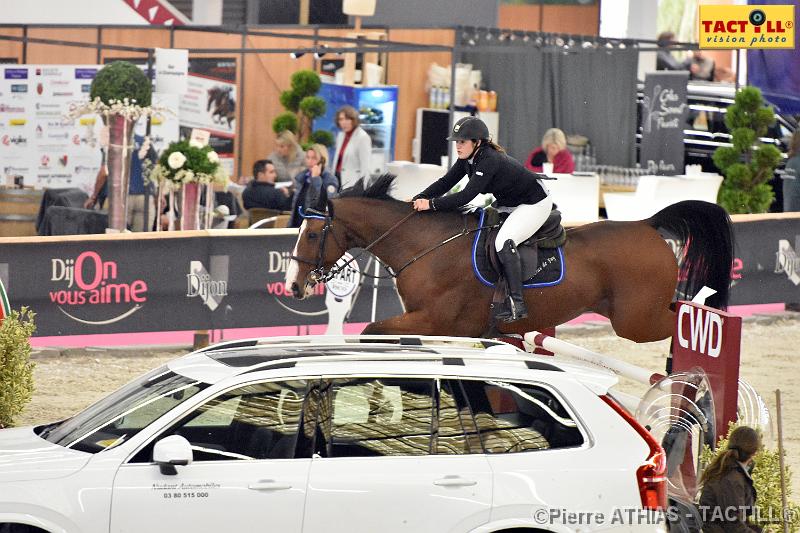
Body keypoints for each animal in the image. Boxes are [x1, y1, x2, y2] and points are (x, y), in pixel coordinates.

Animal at [284, 175, 736, 340]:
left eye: (312, 234)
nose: (293, 286)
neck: (424, 246)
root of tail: (647, 224)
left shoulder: (435, 321)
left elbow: (372, 329)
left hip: (636, 322)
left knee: (680, 320)